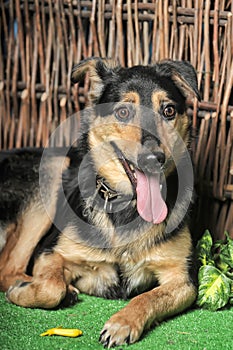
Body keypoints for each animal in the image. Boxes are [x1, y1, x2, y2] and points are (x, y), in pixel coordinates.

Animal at [0, 58, 200, 348]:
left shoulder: (183, 278)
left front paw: (123, 322)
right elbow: (50, 287)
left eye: (169, 110)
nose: (154, 159)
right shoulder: (50, 252)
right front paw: (27, 291)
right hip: (52, 169)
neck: (127, 208)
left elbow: (149, 297)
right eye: (123, 112)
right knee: (8, 268)